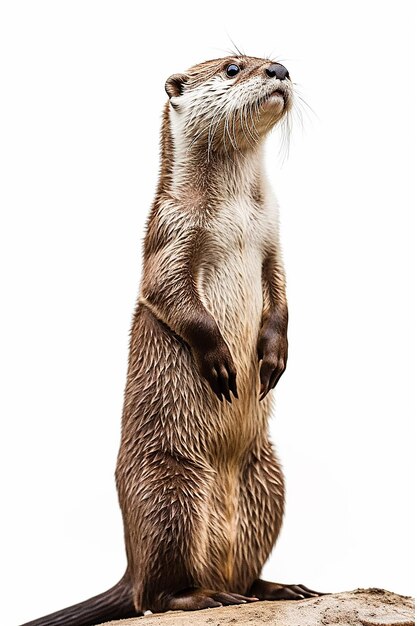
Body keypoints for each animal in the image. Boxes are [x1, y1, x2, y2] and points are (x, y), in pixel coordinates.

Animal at [20, 54, 318, 624]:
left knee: (241, 571)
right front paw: (221, 360)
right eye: (232, 67)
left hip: (268, 481)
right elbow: (170, 297)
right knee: (152, 598)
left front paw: (272, 357)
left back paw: (274, 588)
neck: (238, 218)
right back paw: (201, 596)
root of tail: (131, 564)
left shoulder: (274, 241)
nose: (279, 69)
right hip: (169, 490)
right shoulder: (168, 239)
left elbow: (283, 300)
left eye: (272, 58)